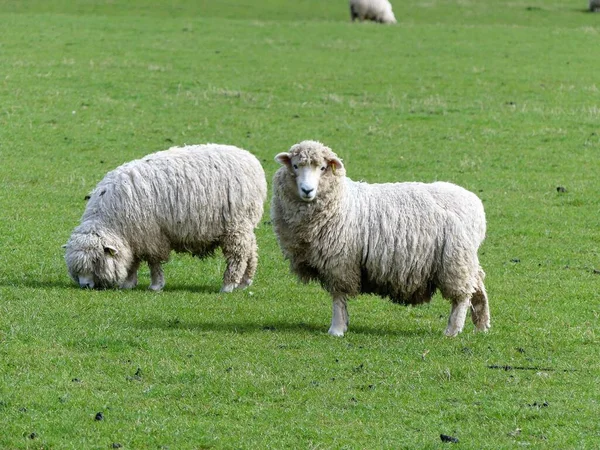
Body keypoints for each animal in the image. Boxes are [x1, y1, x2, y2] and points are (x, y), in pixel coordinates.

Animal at [63, 143, 268, 292]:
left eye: (95, 261)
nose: (85, 285)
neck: (111, 221)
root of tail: (252, 161)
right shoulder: (134, 238)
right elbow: (133, 262)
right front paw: (129, 283)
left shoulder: (150, 235)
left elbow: (153, 262)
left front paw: (155, 285)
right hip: (245, 226)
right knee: (251, 251)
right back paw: (245, 282)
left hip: (235, 226)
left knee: (238, 256)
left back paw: (228, 286)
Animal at [270, 142, 488, 338]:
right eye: (295, 166)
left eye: (322, 168)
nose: (307, 190)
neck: (341, 201)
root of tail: (475, 203)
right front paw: (343, 324)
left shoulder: (340, 261)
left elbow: (338, 296)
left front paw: (336, 329)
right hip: (466, 259)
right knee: (478, 287)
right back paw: (482, 326)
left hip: (455, 260)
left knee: (461, 298)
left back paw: (453, 331)